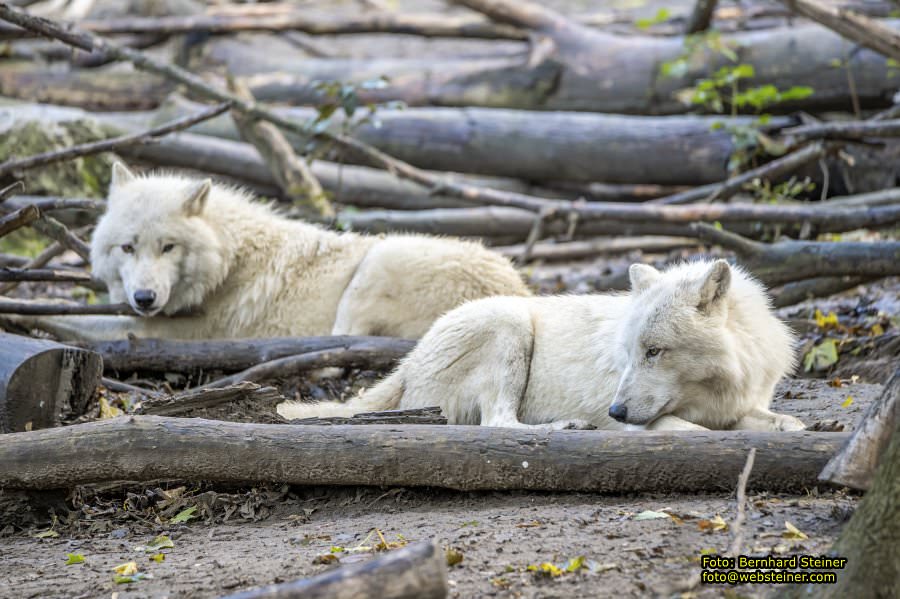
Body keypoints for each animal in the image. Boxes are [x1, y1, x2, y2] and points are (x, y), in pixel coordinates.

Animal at [5, 162, 528, 342]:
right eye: (127, 248)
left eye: (168, 247)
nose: (145, 299)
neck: (229, 261)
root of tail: (521, 295)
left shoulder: (171, 333)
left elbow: (80, 322)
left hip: (378, 263)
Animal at [278, 260, 804, 434]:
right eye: (630, 354)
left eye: (653, 352)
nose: (614, 411)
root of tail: (407, 362)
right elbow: (692, 432)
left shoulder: (743, 403)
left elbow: (786, 423)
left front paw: (784, 425)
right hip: (508, 324)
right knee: (497, 424)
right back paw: (566, 425)